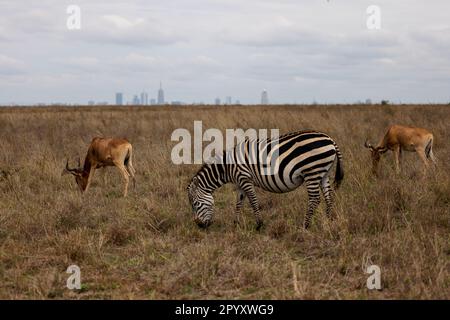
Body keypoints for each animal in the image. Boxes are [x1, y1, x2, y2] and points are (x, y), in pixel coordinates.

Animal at [187, 130, 344, 230]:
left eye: (195, 204)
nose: (200, 226)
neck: (227, 167)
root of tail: (330, 140)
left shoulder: (245, 179)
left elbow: (253, 201)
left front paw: (259, 224)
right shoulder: (240, 182)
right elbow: (238, 203)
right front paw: (236, 224)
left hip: (312, 171)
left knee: (315, 199)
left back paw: (305, 226)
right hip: (323, 173)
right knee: (329, 197)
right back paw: (328, 221)